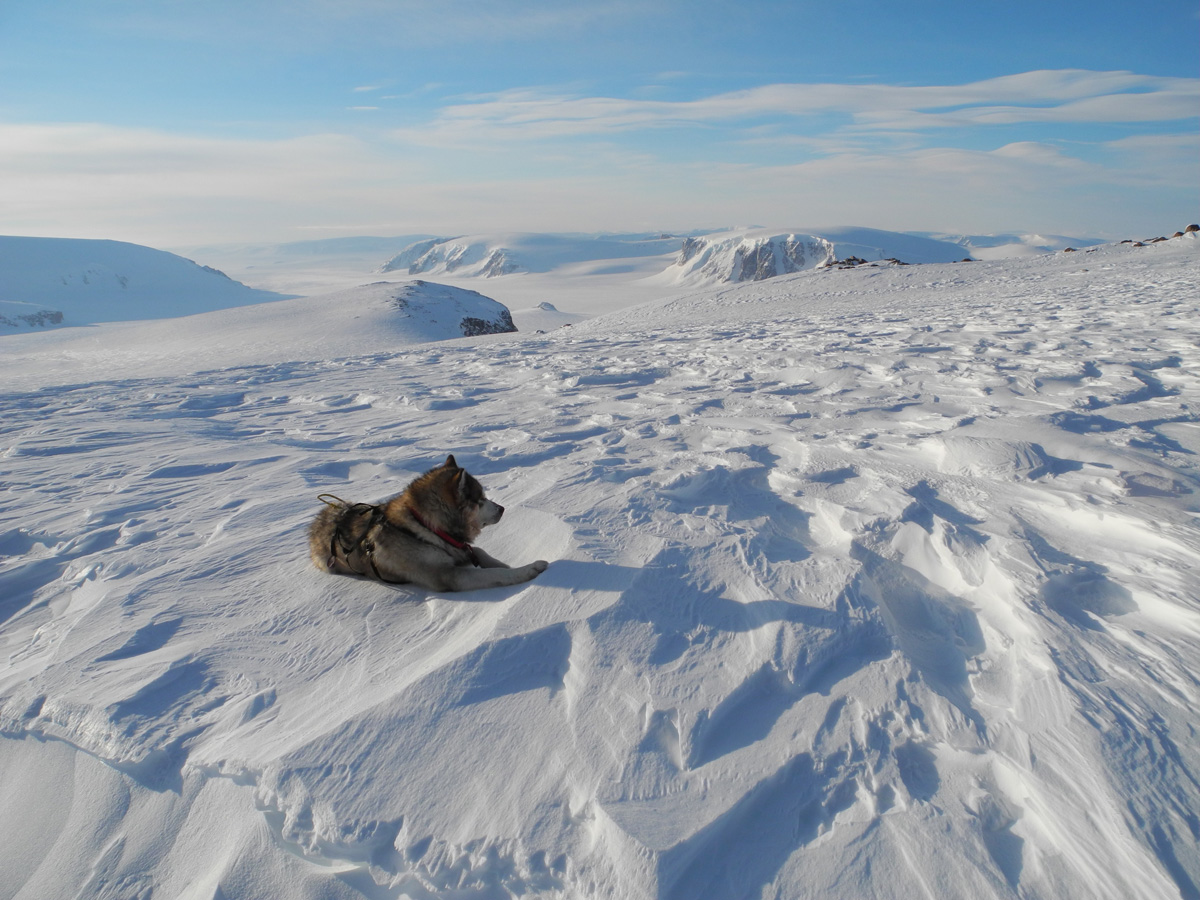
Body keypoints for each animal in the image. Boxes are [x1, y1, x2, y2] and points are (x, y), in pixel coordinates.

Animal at [312, 458, 549, 592]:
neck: (425, 527)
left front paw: (508, 564)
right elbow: (495, 575)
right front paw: (529, 569)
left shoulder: (459, 549)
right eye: (480, 499)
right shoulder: (448, 575)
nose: (502, 508)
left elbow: (482, 554)